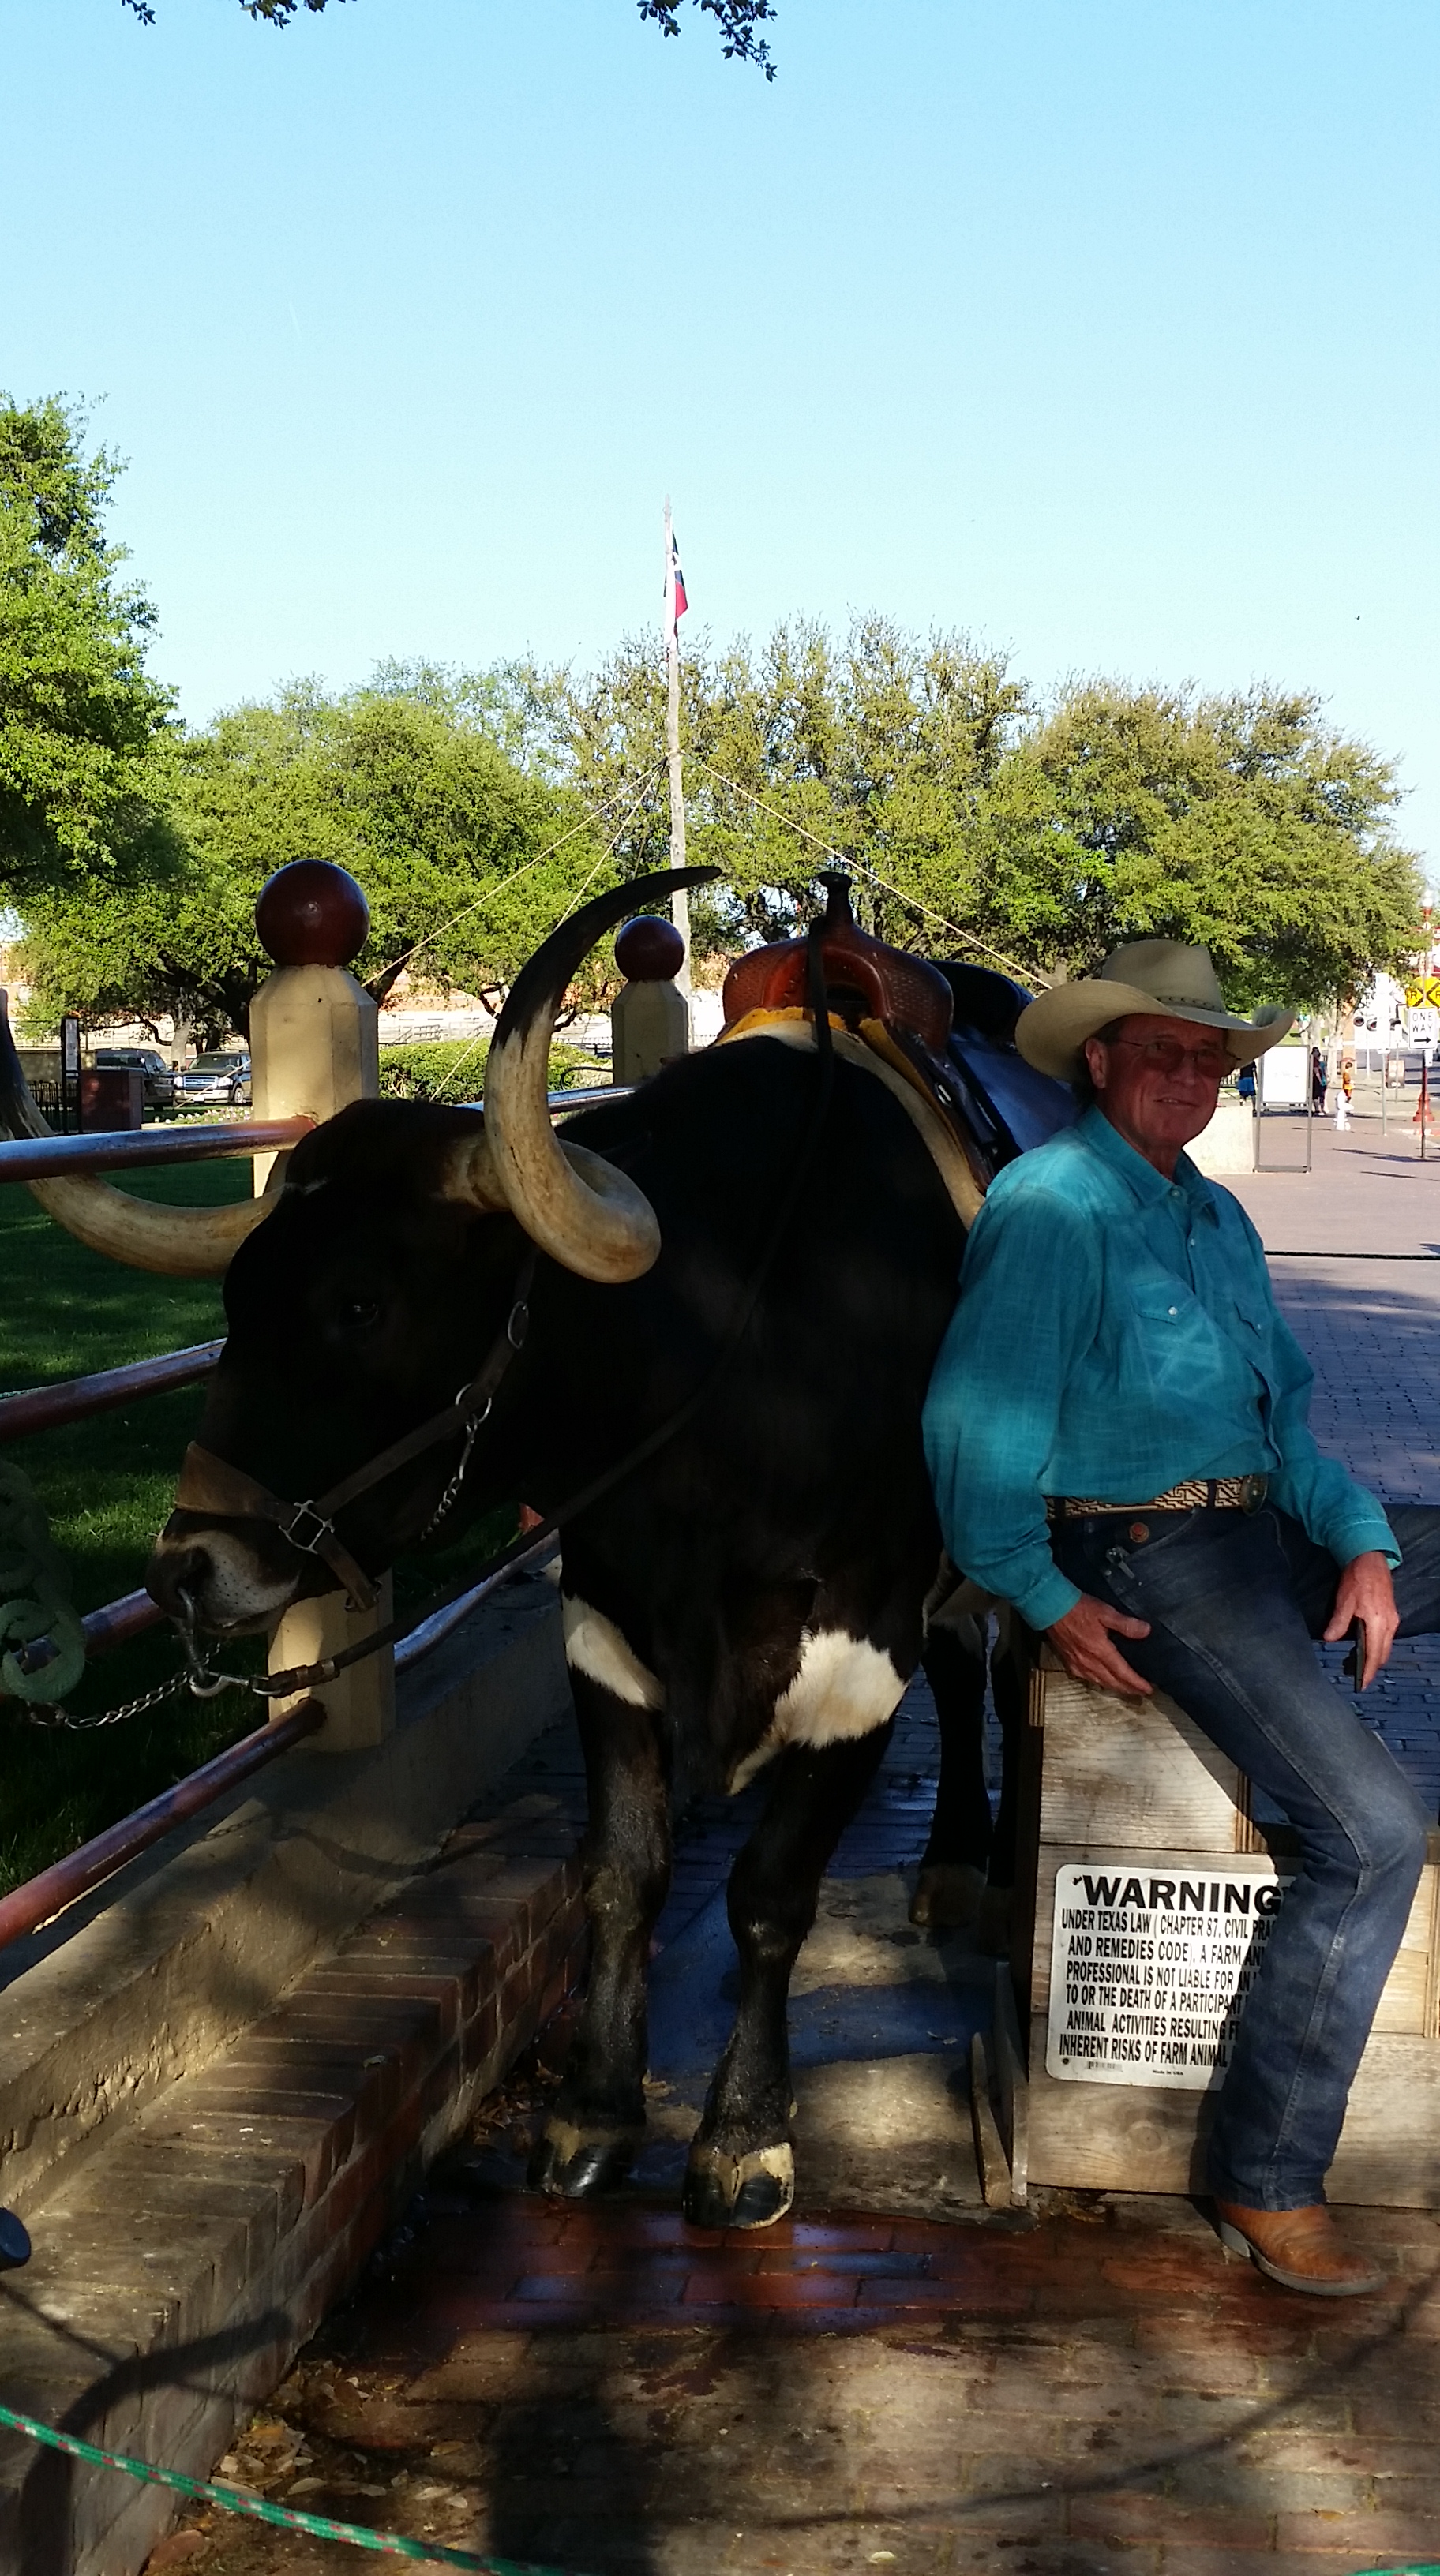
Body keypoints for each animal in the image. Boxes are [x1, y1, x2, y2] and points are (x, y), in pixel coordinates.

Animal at [140, 868, 1064, 2228]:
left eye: (360, 1302)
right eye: (234, 1297)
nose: (186, 1569)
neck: (746, 1318)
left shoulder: (862, 1634)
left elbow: (770, 1892)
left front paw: (745, 2136)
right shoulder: (608, 1617)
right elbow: (625, 1871)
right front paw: (593, 2113)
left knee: (1000, 1679)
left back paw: (992, 1875)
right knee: (965, 1670)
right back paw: (949, 1861)